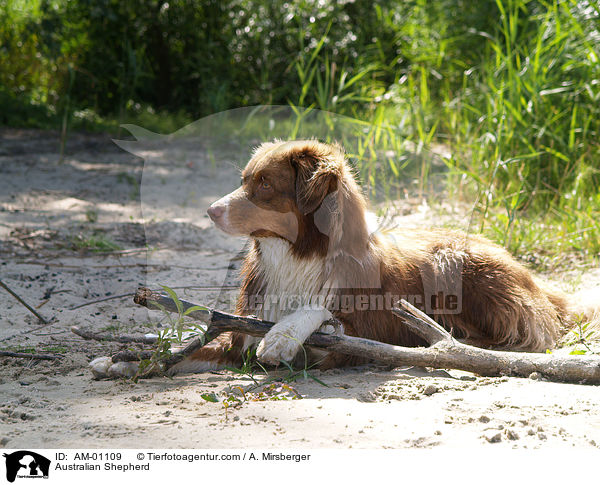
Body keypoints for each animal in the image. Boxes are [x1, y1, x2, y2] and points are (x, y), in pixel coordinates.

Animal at [162, 140, 596, 374]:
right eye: (244, 181)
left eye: (265, 184)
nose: (211, 211)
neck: (297, 253)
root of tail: (533, 278)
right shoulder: (241, 328)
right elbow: (197, 347)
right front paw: (154, 357)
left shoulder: (358, 333)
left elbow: (319, 312)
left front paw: (282, 337)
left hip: (458, 265)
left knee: (529, 332)